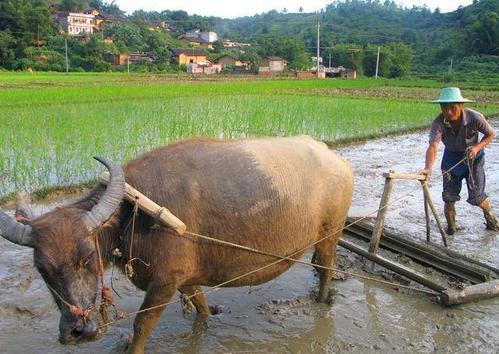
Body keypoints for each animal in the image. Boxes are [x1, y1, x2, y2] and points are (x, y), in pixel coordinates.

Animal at [0, 136, 354, 354]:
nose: (77, 331)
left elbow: (142, 324)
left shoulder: (164, 282)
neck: (133, 212)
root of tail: (333, 158)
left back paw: (322, 300)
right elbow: (199, 303)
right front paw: (210, 316)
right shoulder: (185, 278)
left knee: (325, 266)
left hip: (330, 235)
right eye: (41, 268)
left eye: (87, 257)